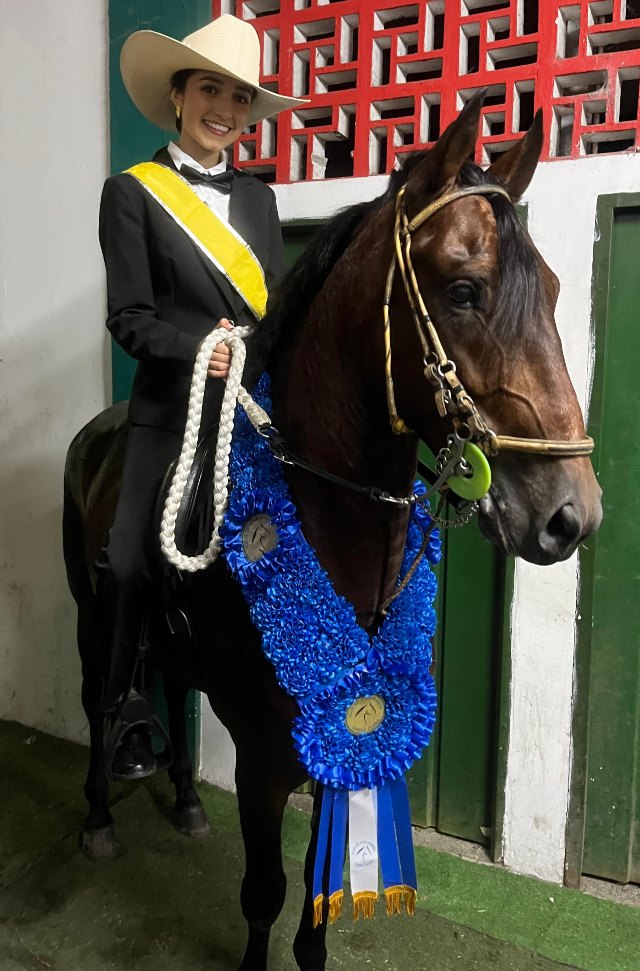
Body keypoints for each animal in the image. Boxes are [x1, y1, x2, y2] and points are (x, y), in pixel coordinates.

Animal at [63, 97, 600, 971]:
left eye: (553, 288)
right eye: (463, 289)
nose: (571, 516)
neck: (327, 510)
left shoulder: (336, 732)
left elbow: (314, 911)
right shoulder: (262, 750)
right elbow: (265, 892)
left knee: (171, 686)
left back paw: (186, 801)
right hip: (91, 613)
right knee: (98, 698)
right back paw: (101, 817)